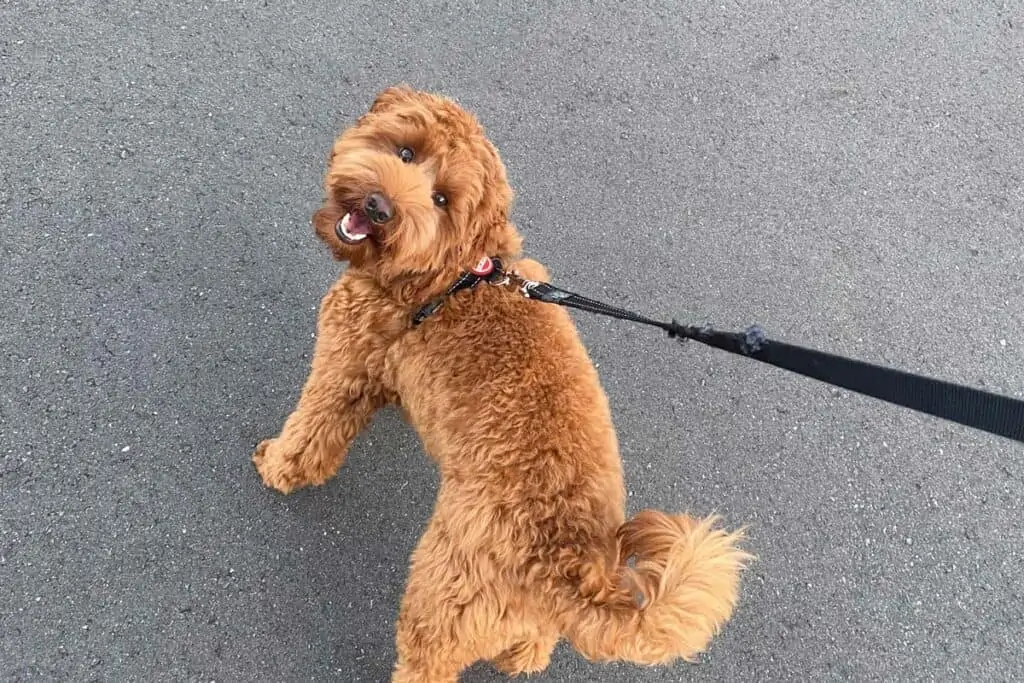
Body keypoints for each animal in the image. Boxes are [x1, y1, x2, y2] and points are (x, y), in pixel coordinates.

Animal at [253, 88, 753, 679]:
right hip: (514, 616)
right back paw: (520, 657)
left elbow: (311, 433)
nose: (379, 207)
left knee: (428, 661)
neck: (453, 275)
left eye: (442, 200)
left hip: (444, 595)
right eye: (405, 152)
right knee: (535, 642)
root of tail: (570, 565)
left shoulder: (345, 361)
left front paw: (276, 466)